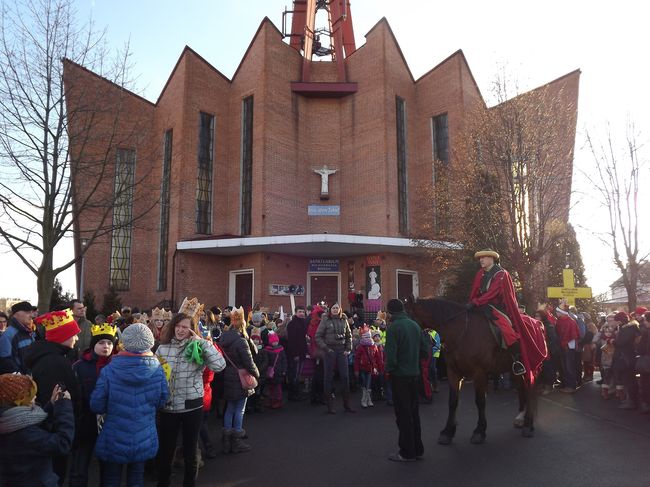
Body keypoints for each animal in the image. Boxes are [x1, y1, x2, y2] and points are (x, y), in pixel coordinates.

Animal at [404, 296, 536, 444]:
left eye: (407, 316)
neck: (461, 330)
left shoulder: (479, 373)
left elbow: (480, 401)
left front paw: (479, 431)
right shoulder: (453, 372)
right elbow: (453, 401)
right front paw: (447, 432)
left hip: (530, 367)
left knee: (530, 390)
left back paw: (528, 425)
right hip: (516, 371)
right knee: (522, 389)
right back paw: (521, 419)